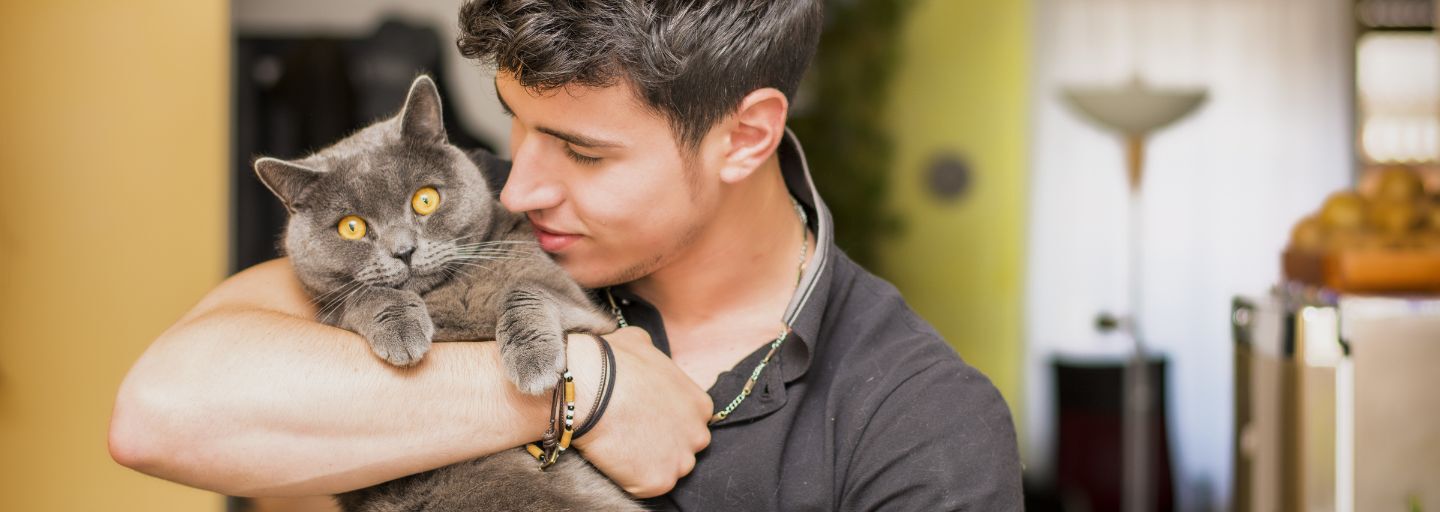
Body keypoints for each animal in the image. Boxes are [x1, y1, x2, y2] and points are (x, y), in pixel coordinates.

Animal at [256, 74, 639, 509]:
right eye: (351, 227)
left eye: (425, 199)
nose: (403, 250)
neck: (447, 290)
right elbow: (361, 295)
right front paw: (402, 332)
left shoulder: (587, 311)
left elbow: (524, 287)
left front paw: (533, 363)